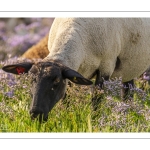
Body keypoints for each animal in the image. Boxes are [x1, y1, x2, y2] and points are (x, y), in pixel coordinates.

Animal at [2, 17, 150, 122]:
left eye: (56, 82)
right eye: (30, 80)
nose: (36, 114)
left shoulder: (105, 67)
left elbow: (96, 102)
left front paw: (95, 123)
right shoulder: (71, 73)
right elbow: (66, 100)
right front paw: (66, 116)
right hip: (129, 68)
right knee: (128, 92)